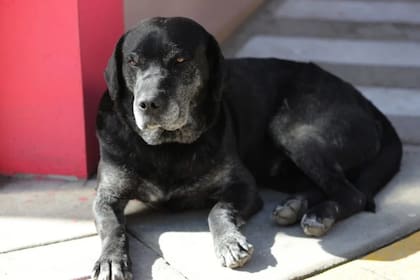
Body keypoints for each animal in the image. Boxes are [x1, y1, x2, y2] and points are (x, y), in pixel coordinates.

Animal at [91, 17, 400, 280]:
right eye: (132, 62)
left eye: (180, 60)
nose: (148, 104)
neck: (168, 147)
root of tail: (363, 99)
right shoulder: (106, 197)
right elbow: (112, 228)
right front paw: (111, 260)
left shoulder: (243, 188)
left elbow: (217, 210)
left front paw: (229, 242)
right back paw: (294, 205)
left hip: (293, 130)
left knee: (352, 193)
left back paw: (319, 214)